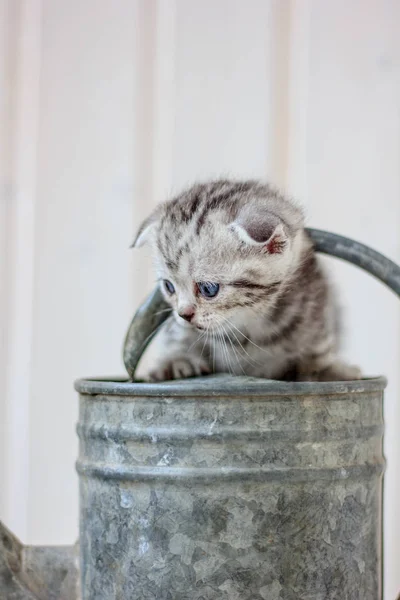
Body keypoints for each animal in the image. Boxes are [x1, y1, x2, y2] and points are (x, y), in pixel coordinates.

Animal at [133, 180, 360, 382]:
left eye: (208, 289)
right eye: (169, 287)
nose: (184, 314)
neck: (249, 326)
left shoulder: (316, 303)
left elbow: (317, 344)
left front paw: (326, 369)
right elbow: (177, 336)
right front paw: (176, 359)